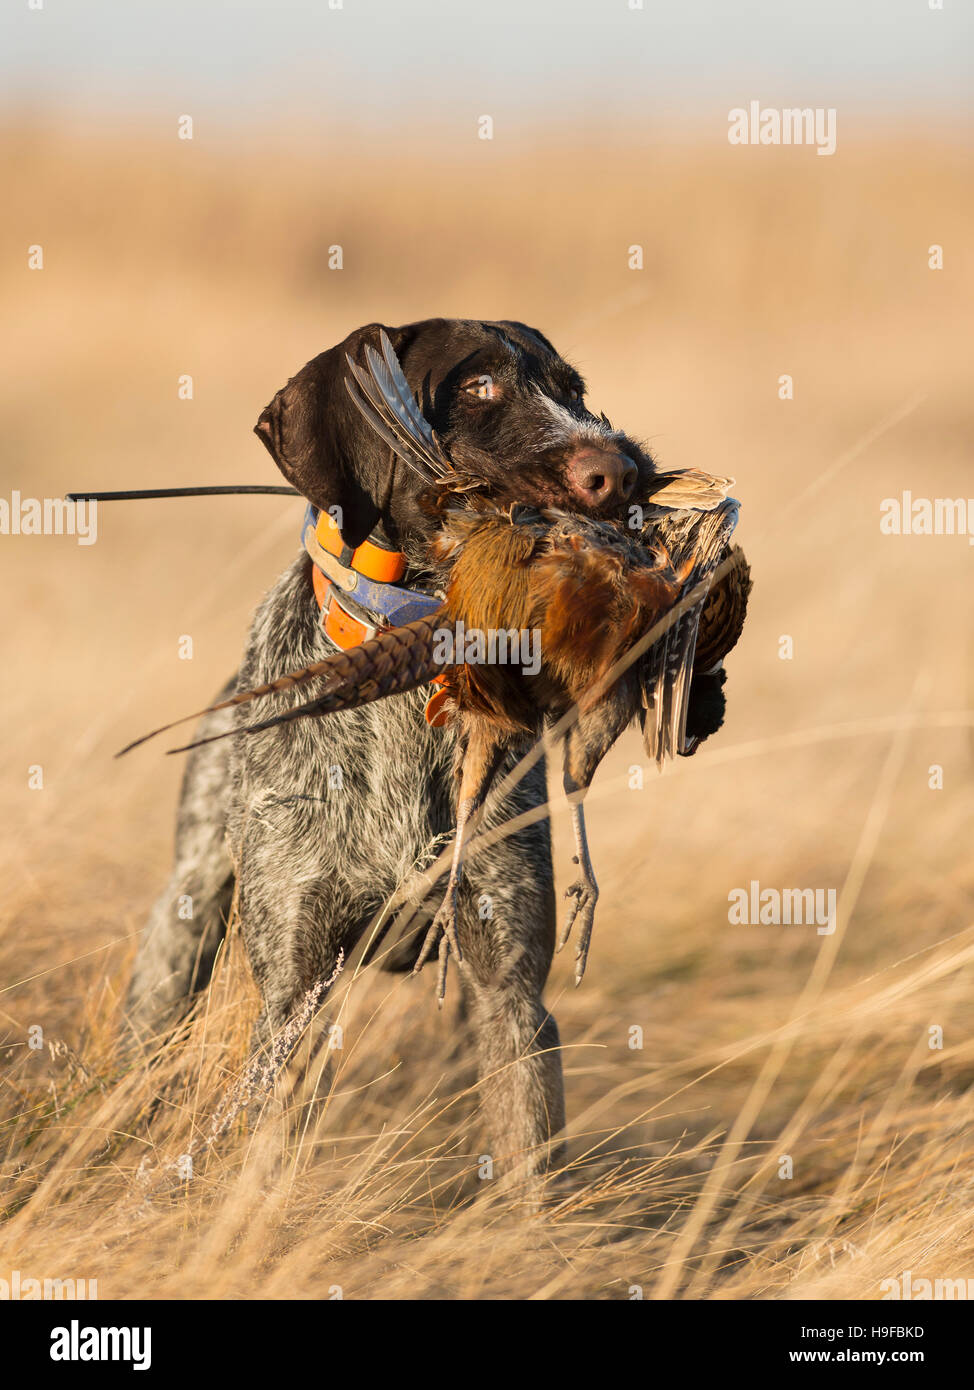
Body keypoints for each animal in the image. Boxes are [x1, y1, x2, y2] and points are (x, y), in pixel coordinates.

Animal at [125, 318, 703, 1184]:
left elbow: (528, 1169)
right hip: (179, 932)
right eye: (477, 387)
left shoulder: (509, 992)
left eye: (573, 390)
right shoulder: (294, 996)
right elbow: (266, 1160)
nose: (622, 468)